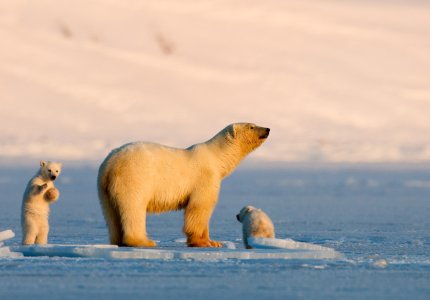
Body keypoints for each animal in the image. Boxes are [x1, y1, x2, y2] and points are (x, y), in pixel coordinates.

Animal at [99, 123, 270, 247]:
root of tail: (110, 163)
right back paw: (143, 241)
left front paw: (214, 242)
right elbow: (200, 207)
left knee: (111, 214)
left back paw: (117, 240)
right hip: (134, 177)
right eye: (252, 126)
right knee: (133, 208)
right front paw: (203, 242)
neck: (216, 158)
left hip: (104, 187)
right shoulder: (205, 178)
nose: (268, 129)